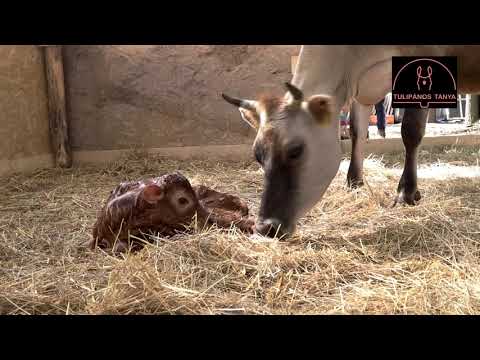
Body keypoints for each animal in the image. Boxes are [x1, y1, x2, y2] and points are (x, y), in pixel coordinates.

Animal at [223, 45, 480, 239]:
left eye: (295, 150)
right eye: (257, 155)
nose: (265, 227)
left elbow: (411, 131)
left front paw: (406, 193)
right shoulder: (360, 87)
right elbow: (357, 130)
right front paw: (354, 182)